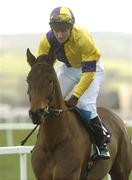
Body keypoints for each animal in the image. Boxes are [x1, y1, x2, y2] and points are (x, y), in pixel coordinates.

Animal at [26, 48, 132, 179]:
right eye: (28, 79)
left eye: (50, 79)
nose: (36, 113)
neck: (52, 142)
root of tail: (117, 118)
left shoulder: (69, 174)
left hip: (121, 172)